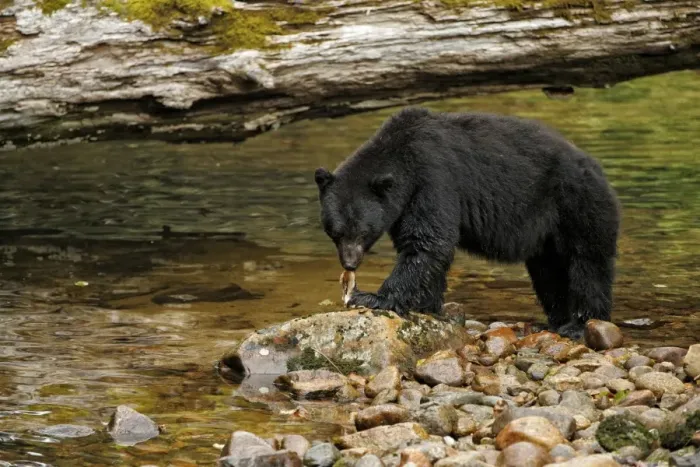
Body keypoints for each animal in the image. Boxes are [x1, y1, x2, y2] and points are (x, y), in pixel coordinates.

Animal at [314, 107, 620, 339]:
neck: (402, 158)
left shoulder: (433, 178)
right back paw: (558, 319)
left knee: (587, 265)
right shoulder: (404, 204)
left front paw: (371, 297)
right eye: (335, 232)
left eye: (363, 232)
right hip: (548, 235)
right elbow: (421, 246)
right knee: (549, 274)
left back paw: (580, 324)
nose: (350, 263)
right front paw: (427, 304)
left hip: (577, 205)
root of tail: (596, 168)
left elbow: (429, 242)